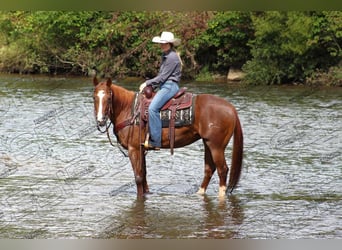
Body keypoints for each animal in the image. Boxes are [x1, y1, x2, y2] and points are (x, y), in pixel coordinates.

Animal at [92, 77, 243, 198]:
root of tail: (231, 108)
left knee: (222, 169)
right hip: (208, 143)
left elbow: (138, 177)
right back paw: (199, 193)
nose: (100, 120)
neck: (128, 109)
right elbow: (144, 174)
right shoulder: (141, 149)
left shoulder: (133, 149)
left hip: (217, 146)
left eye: (108, 98)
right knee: (209, 169)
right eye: (94, 98)